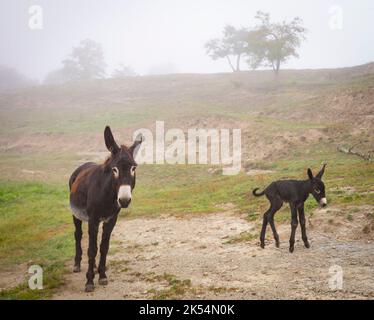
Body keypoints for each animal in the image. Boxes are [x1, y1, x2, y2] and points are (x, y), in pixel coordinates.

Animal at [68, 126, 143, 292]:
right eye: (114, 169)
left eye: (133, 168)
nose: (124, 200)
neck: (108, 194)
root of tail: (84, 165)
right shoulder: (93, 219)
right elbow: (92, 249)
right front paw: (89, 281)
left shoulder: (111, 219)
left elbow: (103, 247)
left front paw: (102, 275)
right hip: (76, 215)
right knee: (78, 235)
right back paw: (77, 264)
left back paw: (95, 267)